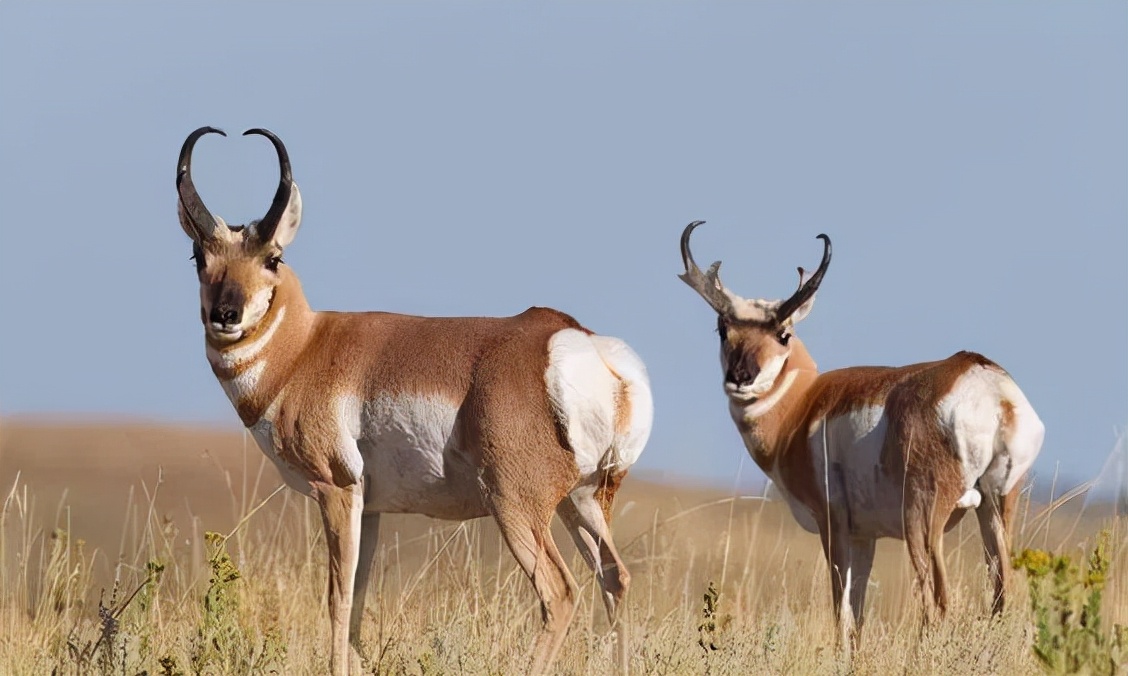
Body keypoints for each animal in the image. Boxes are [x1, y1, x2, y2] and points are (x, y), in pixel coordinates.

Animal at [174, 128, 654, 676]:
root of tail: (580, 344)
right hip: (585, 501)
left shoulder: (336, 489)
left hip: (516, 505)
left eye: (272, 258)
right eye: (198, 257)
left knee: (560, 592)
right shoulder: (371, 508)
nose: (225, 315)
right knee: (614, 578)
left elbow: (338, 600)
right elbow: (357, 604)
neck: (306, 348)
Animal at [672, 222, 1042, 654]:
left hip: (923, 520)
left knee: (937, 598)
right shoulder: (865, 537)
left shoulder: (833, 527)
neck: (804, 404)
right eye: (722, 329)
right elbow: (858, 616)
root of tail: (988, 383)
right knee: (1002, 593)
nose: (740, 377)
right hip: (998, 507)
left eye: (784, 333)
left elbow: (842, 610)